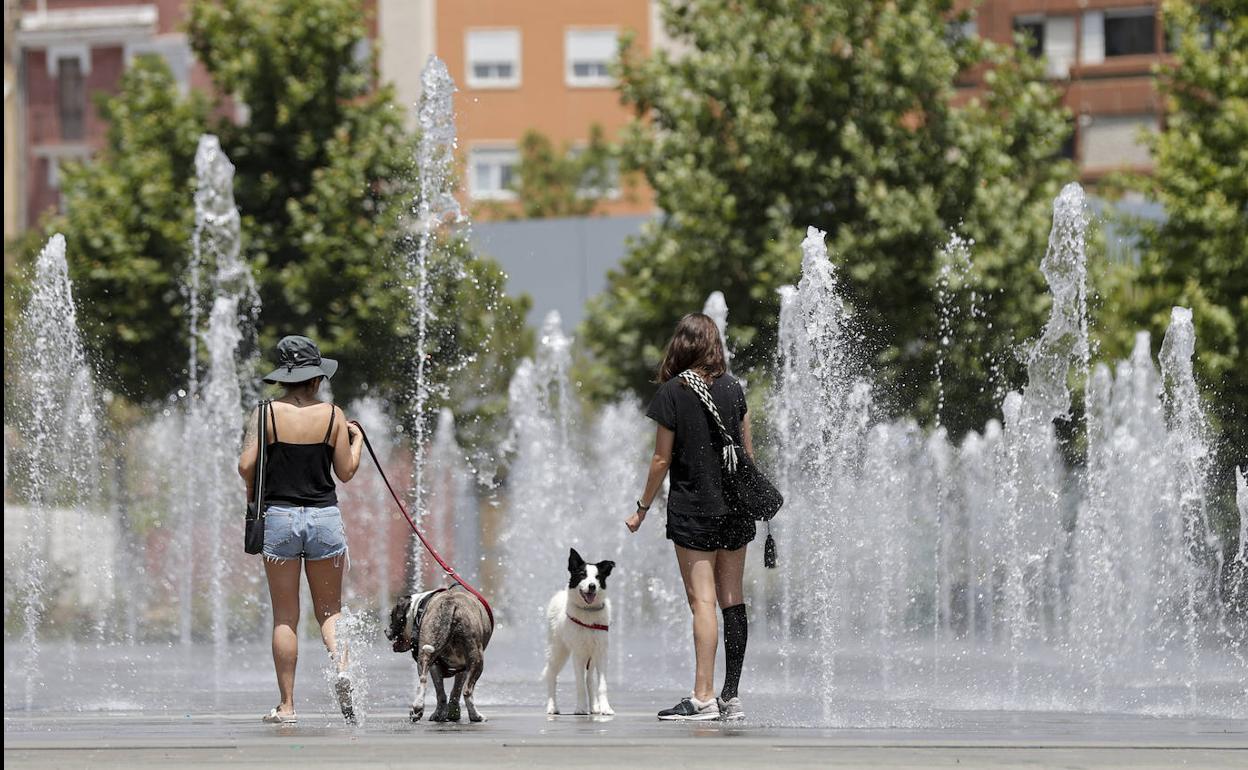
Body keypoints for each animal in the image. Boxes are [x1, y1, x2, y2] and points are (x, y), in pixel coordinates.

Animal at [541, 546, 614, 713]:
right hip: (557, 649)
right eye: (582, 575)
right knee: (551, 674)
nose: (592, 586)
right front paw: (580, 708)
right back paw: (552, 706)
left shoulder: (601, 652)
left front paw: (605, 708)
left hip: (590, 655)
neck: (588, 611)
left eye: (598, 577)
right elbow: (579, 684)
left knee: (589, 679)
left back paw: (594, 707)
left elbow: (601, 685)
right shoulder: (578, 653)